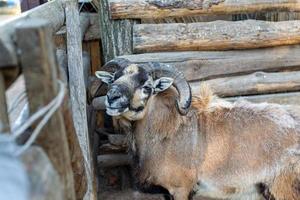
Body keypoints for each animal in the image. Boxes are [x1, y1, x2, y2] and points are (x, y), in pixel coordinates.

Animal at [96, 58, 300, 200]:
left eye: (147, 86)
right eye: (114, 79)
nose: (112, 97)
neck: (166, 132)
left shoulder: (180, 189)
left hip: (285, 189)